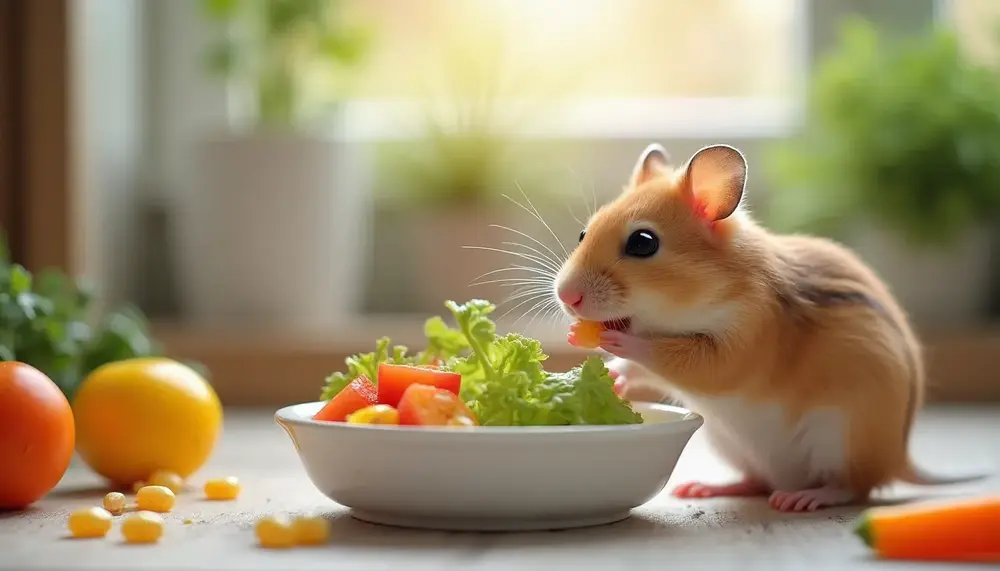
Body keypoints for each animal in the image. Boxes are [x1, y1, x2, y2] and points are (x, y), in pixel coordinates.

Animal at [554, 142, 983, 512]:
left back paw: (804, 499)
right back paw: (705, 488)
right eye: (583, 232)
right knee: (759, 482)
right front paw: (607, 372)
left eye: (643, 243)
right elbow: (639, 368)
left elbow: (663, 354)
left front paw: (615, 340)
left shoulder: (740, 344)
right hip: (730, 444)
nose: (565, 296)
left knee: (853, 487)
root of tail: (901, 460)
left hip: (841, 438)